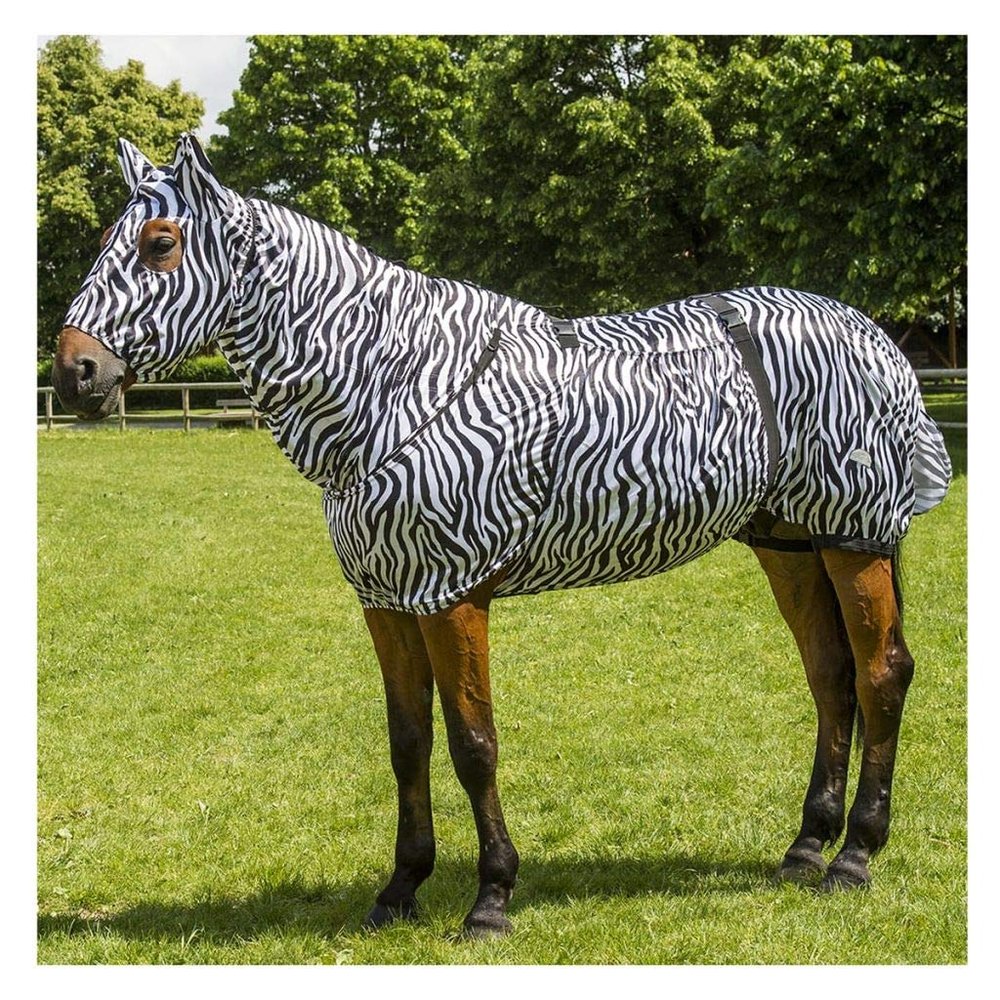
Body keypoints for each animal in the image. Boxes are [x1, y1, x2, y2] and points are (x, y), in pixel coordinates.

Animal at [53, 134, 951, 937]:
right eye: (102, 243)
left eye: (160, 243)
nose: (73, 373)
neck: (395, 385)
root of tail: (871, 333)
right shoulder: (388, 598)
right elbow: (408, 740)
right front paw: (399, 890)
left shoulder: (452, 594)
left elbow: (472, 743)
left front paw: (490, 899)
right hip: (789, 541)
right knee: (831, 676)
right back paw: (805, 847)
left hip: (853, 539)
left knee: (881, 675)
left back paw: (854, 856)